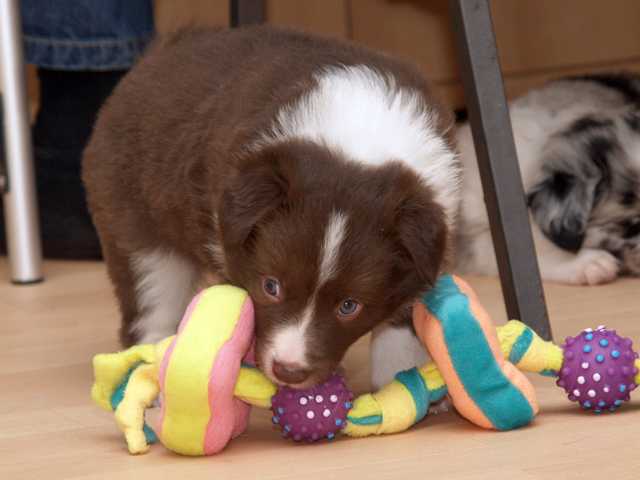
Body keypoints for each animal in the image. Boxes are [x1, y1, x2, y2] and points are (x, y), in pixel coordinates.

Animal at [82, 26, 460, 390]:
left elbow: (400, 322)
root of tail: (155, 55)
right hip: (131, 214)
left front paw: (400, 377)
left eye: (349, 306)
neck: (361, 135)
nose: (288, 371)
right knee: (151, 300)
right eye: (271, 287)